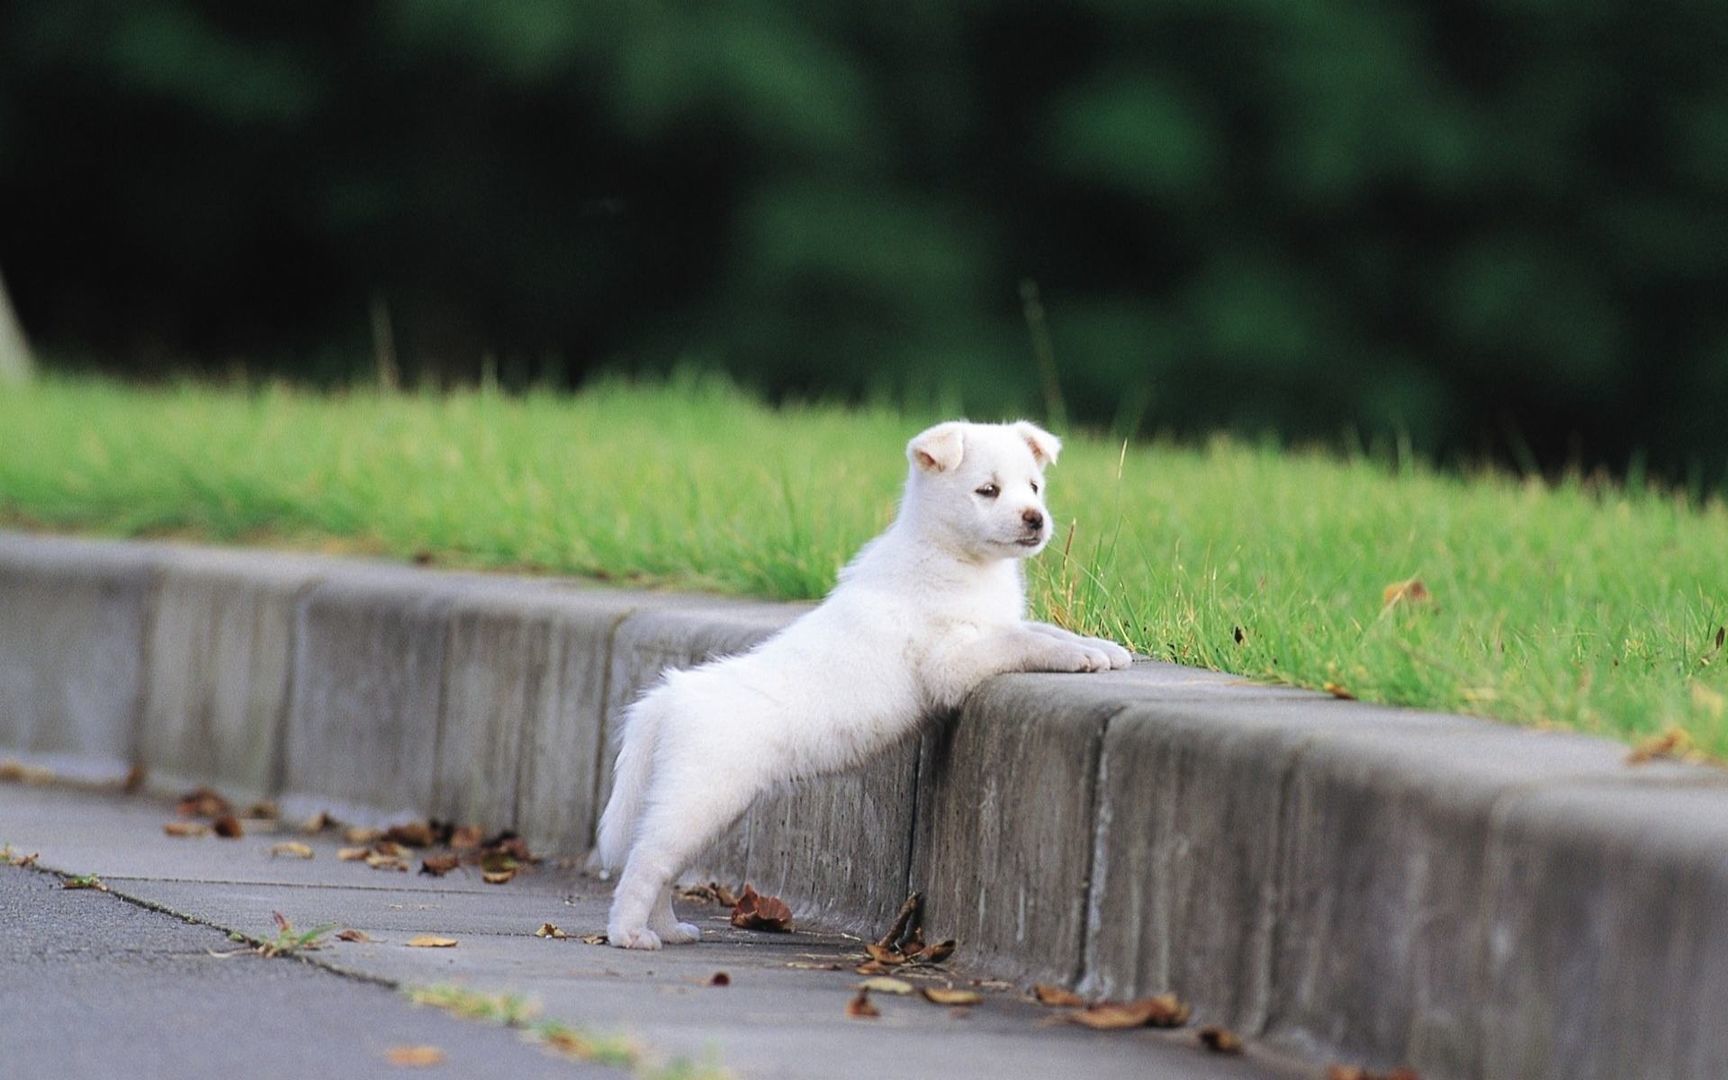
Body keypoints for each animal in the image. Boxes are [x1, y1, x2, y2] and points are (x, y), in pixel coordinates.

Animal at [594, 416, 1133, 946]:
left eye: (1035, 487)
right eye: (988, 490)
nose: (1035, 518)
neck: (953, 556)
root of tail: (671, 694)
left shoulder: (991, 626)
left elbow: (1039, 630)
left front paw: (1103, 647)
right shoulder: (953, 660)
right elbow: (1021, 641)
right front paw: (1079, 655)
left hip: (711, 808)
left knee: (664, 867)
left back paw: (668, 929)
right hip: (699, 798)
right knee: (645, 863)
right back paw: (630, 933)